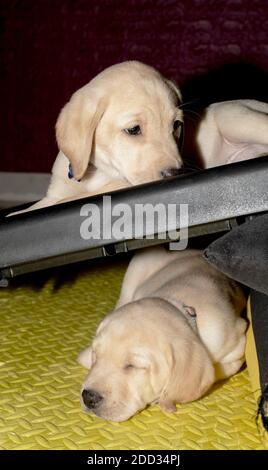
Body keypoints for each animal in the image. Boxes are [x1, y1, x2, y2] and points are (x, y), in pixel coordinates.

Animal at [77, 246, 247, 422]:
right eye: (96, 354)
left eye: (133, 366)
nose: (88, 397)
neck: (180, 305)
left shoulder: (237, 345)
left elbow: (220, 370)